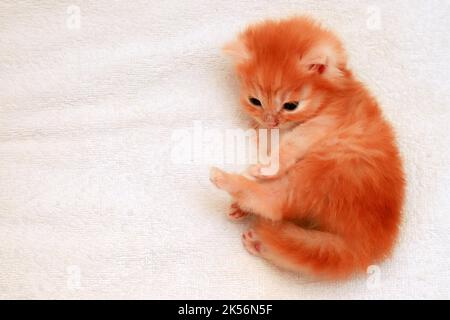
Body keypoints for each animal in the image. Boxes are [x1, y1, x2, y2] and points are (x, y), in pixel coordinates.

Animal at [209, 16, 406, 278]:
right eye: (255, 101)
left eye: (291, 105)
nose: (271, 120)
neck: (332, 95)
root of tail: (367, 245)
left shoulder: (325, 122)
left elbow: (292, 142)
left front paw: (265, 168)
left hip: (326, 167)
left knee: (276, 205)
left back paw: (224, 179)